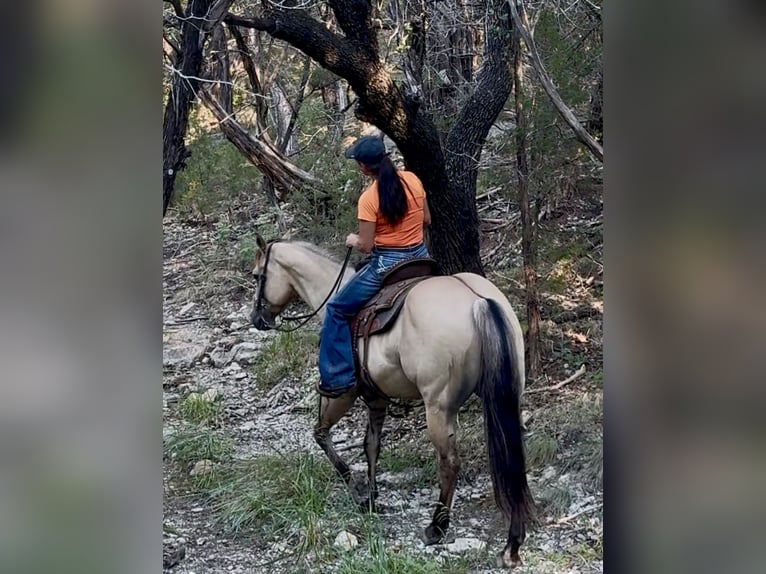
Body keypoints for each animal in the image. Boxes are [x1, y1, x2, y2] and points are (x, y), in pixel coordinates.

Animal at [249, 237, 534, 568]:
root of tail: (479, 301)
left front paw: (357, 489)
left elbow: (321, 434)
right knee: (512, 458)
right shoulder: (376, 399)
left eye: (257, 276)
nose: (256, 319)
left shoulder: (342, 393)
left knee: (449, 462)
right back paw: (512, 543)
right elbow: (371, 445)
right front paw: (372, 496)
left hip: (438, 407)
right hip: (507, 395)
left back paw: (437, 527)